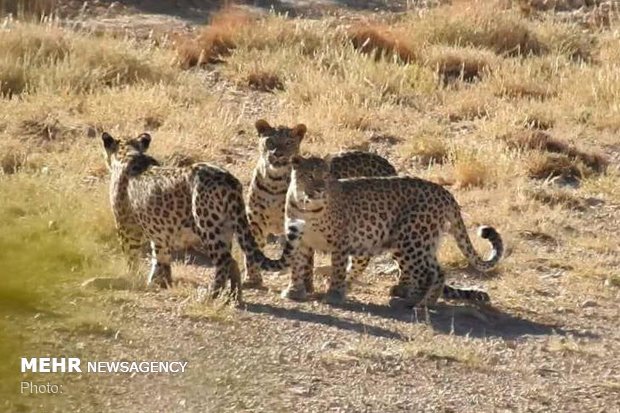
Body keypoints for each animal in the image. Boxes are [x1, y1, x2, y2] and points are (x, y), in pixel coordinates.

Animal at [100, 130, 304, 300]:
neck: (128, 153)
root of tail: (229, 179)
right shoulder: (160, 235)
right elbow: (161, 258)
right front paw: (161, 282)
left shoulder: (127, 230)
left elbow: (132, 258)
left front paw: (134, 277)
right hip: (225, 228)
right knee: (232, 261)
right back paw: (234, 297)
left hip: (207, 227)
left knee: (223, 261)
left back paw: (212, 295)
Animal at [243, 117, 394, 288]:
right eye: (270, 141)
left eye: (289, 143)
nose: (278, 154)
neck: (274, 182)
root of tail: (385, 163)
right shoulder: (256, 223)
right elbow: (252, 252)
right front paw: (252, 279)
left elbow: (304, 261)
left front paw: (304, 285)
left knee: (361, 260)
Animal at [282, 154, 504, 306]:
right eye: (310, 176)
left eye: (326, 175)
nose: (320, 189)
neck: (307, 206)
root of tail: (444, 191)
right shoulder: (299, 239)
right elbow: (297, 266)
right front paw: (294, 290)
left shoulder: (340, 242)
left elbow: (337, 269)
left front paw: (334, 294)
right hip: (417, 241)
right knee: (424, 270)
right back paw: (407, 294)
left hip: (411, 238)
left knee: (434, 272)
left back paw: (419, 303)